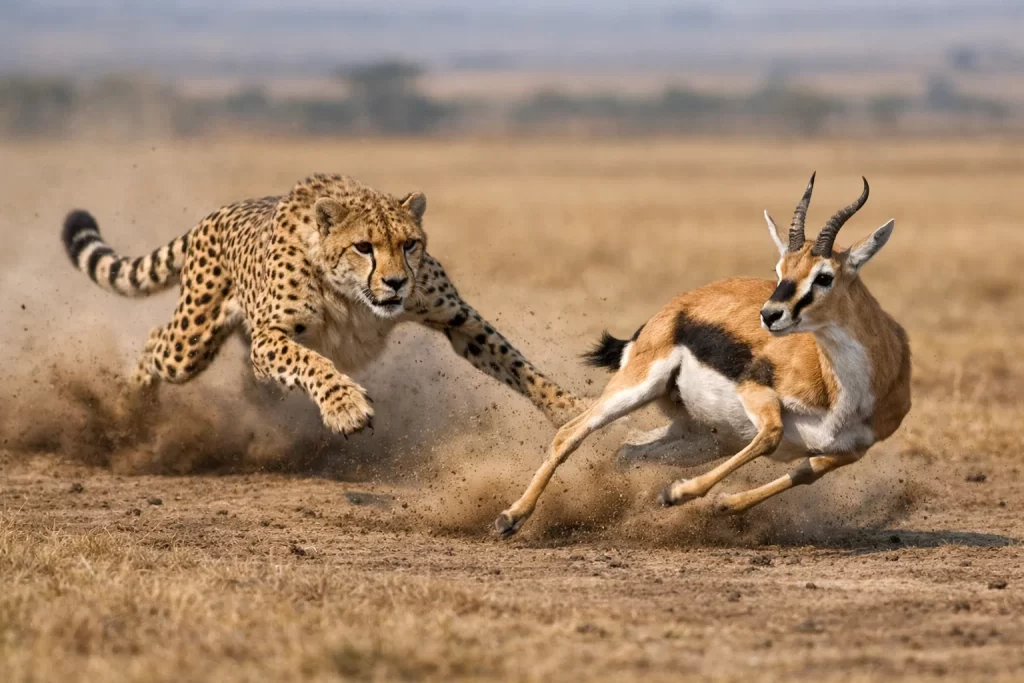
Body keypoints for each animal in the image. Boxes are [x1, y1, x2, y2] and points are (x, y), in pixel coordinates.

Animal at [61, 173, 583, 434]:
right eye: (364, 247)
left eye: (410, 244)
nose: (396, 283)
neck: (355, 297)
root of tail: (218, 212)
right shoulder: (270, 337)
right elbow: (310, 360)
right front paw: (344, 406)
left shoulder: (458, 318)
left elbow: (514, 362)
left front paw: (571, 408)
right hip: (191, 341)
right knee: (156, 343)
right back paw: (131, 410)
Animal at [495, 174, 911, 537]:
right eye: (779, 270)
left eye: (824, 276)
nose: (769, 315)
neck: (844, 390)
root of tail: (675, 306)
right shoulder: (756, 394)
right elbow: (771, 435)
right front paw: (676, 493)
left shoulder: (844, 452)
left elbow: (805, 472)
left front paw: (720, 504)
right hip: (639, 389)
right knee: (570, 433)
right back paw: (510, 518)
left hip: (703, 436)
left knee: (628, 452)